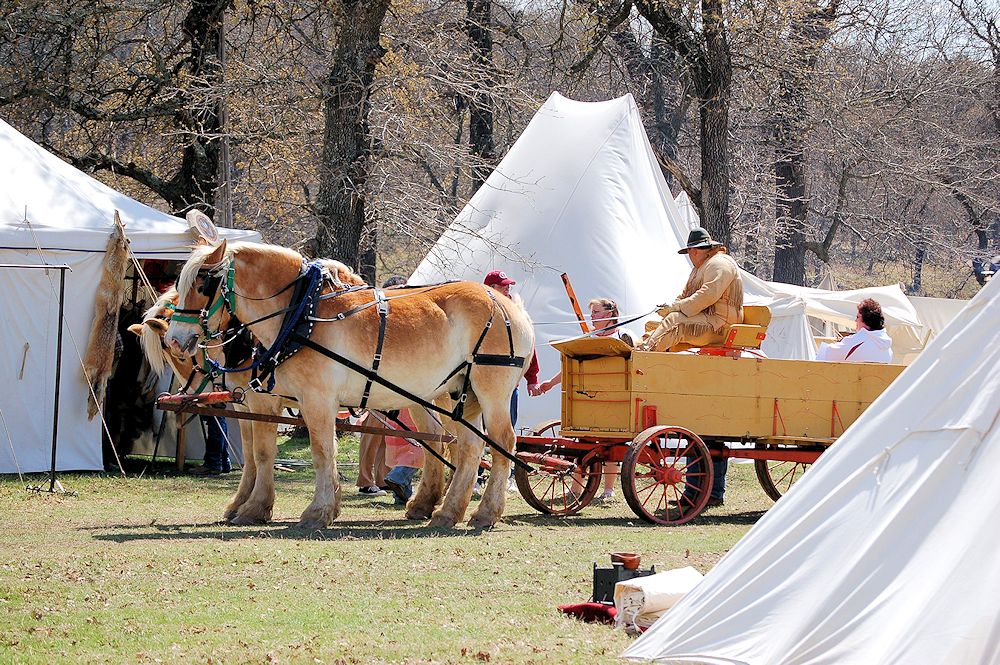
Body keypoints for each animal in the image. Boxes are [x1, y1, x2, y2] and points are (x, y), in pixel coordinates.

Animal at [166, 240, 532, 528]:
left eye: (202, 285)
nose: (174, 340)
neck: (302, 313)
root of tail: (508, 304)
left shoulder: (312, 399)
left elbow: (317, 451)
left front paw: (316, 511)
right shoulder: (267, 401)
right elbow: (266, 452)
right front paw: (259, 507)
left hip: (491, 393)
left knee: (502, 443)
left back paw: (485, 512)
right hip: (458, 394)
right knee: (467, 447)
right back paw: (444, 511)